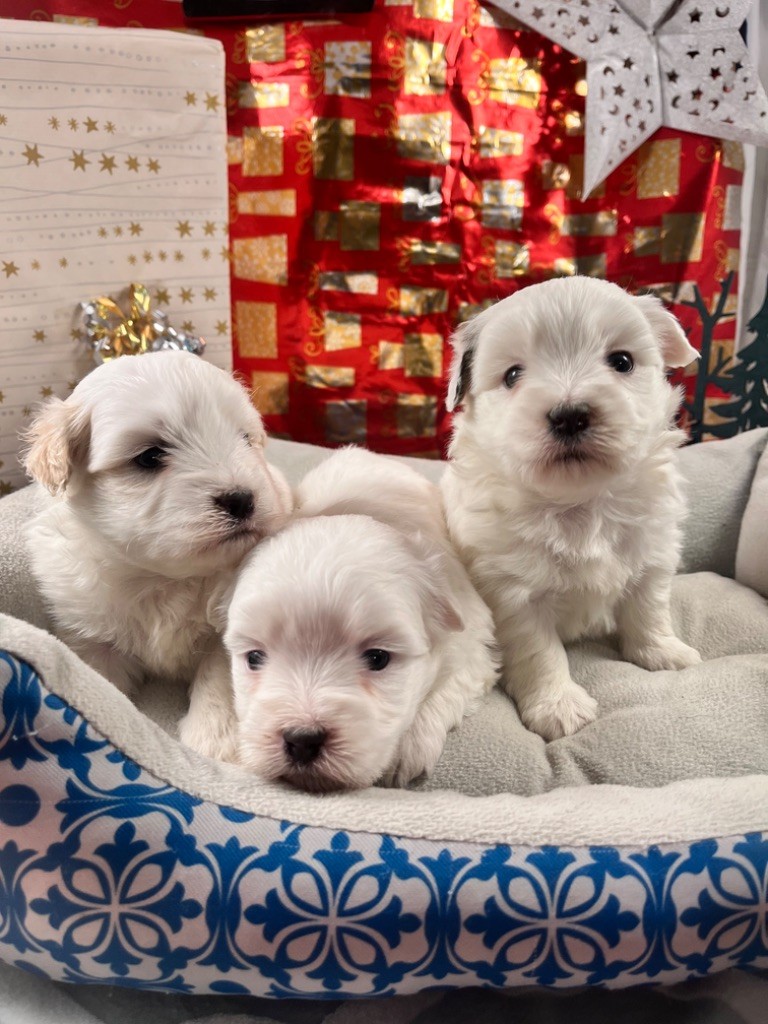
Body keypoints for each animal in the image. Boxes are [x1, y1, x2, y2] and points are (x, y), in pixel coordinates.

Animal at [24, 352, 292, 761]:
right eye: (149, 456)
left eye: (246, 440)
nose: (242, 498)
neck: (162, 578)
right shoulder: (89, 632)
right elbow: (99, 683)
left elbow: (221, 678)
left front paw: (214, 742)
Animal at [222, 448, 499, 790]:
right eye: (254, 658)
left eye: (378, 658)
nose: (302, 739)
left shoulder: (473, 639)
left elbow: (453, 680)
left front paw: (409, 750)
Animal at [444, 276, 704, 741]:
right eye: (512, 375)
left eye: (622, 361)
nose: (569, 415)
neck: (578, 502)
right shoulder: (513, 594)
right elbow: (540, 651)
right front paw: (558, 706)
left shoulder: (652, 554)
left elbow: (648, 608)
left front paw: (662, 652)